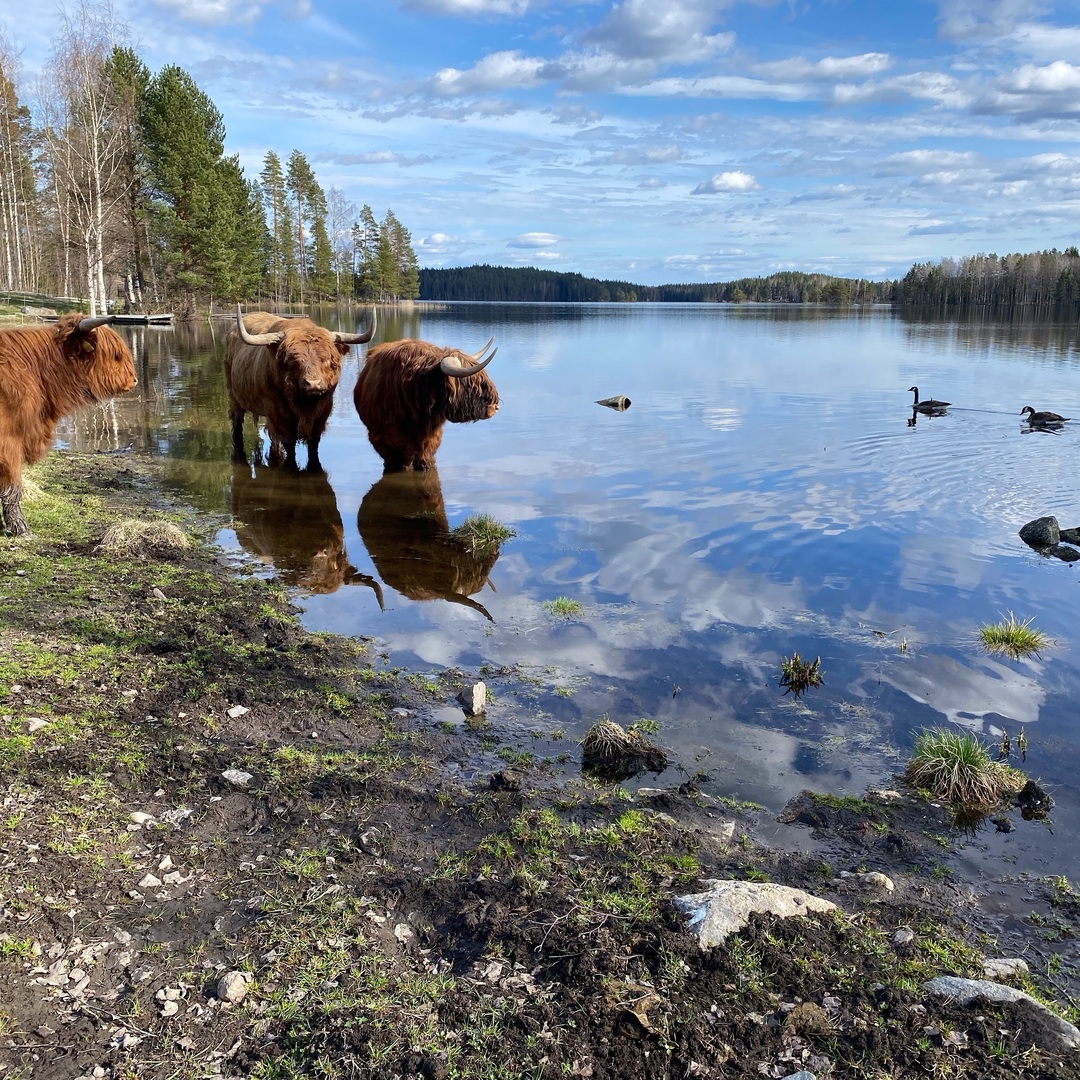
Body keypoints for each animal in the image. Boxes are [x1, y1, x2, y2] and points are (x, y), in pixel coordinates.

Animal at [225, 306, 378, 470]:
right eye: (293, 360)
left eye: (326, 359)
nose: (313, 383)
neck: (305, 405)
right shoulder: (276, 411)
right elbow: (289, 443)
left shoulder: (323, 411)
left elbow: (313, 443)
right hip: (234, 397)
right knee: (237, 422)